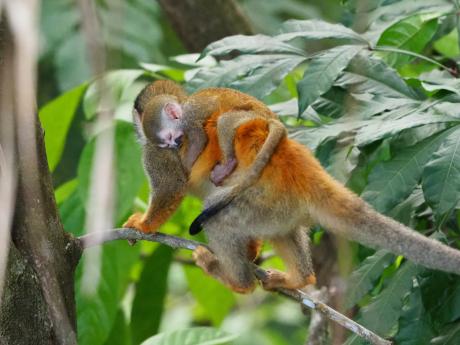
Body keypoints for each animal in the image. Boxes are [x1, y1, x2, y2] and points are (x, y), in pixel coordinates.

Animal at [124, 79, 286, 232]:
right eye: (166, 143)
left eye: (170, 136)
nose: (174, 145)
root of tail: (272, 117)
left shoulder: (162, 143)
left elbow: (172, 186)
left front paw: (143, 225)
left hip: (250, 117)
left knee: (224, 121)